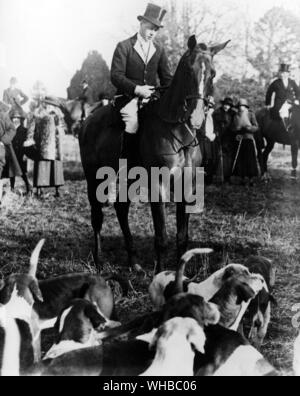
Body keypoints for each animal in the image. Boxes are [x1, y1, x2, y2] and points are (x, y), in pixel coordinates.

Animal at [78, 36, 230, 272]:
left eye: (212, 73)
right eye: (188, 70)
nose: (196, 117)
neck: (177, 130)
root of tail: (87, 121)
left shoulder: (187, 185)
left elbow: (182, 238)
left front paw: (180, 275)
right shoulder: (158, 185)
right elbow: (162, 237)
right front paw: (160, 273)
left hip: (130, 177)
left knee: (121, 209)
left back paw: (133, 262)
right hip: (94, 177)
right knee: (97, 217)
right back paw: (99, 260)